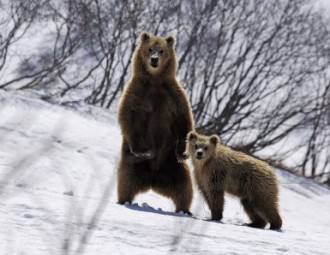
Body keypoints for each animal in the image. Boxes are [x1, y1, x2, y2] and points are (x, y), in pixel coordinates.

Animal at [116, 31, 193, 215]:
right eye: (149, 48)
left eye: (162, 50)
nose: (154, 59)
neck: (155, 79)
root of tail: (153, 179)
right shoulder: (137, 92)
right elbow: (129, 116)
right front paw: (143, 150)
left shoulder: (174, 95)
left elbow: (184, 121)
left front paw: (183, 152)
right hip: (132, 163)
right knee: (125, 179)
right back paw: (124, 200)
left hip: (173, 165)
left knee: (185, 187)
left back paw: (184, 210)